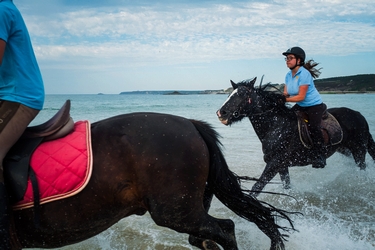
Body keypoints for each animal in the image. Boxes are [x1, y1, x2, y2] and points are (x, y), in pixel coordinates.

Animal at [216, 78, 375, 195]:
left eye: (242, 94)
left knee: (362, 168)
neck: (275, 126)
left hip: (359, 150)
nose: (221, 113)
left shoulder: (275, 163)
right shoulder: (281, 166)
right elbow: (287, 186)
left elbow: (257, 187)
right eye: (229, 95)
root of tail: (359, 115)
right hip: (345, 150)